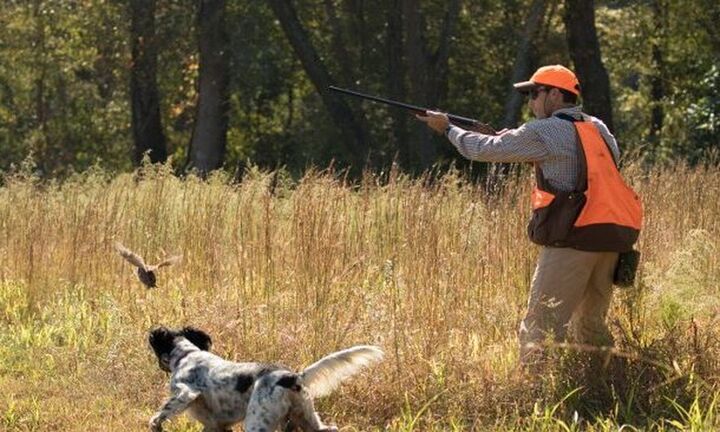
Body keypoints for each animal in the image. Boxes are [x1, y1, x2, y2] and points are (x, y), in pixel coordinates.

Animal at [146, 326, 382, 430]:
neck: (187, 354)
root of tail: (292, 377)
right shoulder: (217, 426)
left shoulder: (186, 391)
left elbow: (161, 413)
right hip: (306, 418)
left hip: (257, 421)